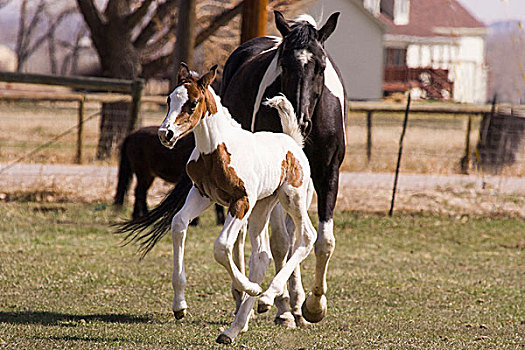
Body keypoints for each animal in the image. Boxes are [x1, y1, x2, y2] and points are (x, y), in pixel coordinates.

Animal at [157, 64, 316, 344]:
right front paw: (179, 305)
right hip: (263, 205)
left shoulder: (241, 202)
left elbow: (221, 247)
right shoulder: (201, 195)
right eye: (168, 100)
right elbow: (178, 224)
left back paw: (265, 296)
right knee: (262, 255)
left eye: (193, 103)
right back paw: (233, 329)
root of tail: (293, 142)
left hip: (292, 199)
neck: (216, 150)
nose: (165, 134)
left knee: (307, 237)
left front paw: (250, 288)